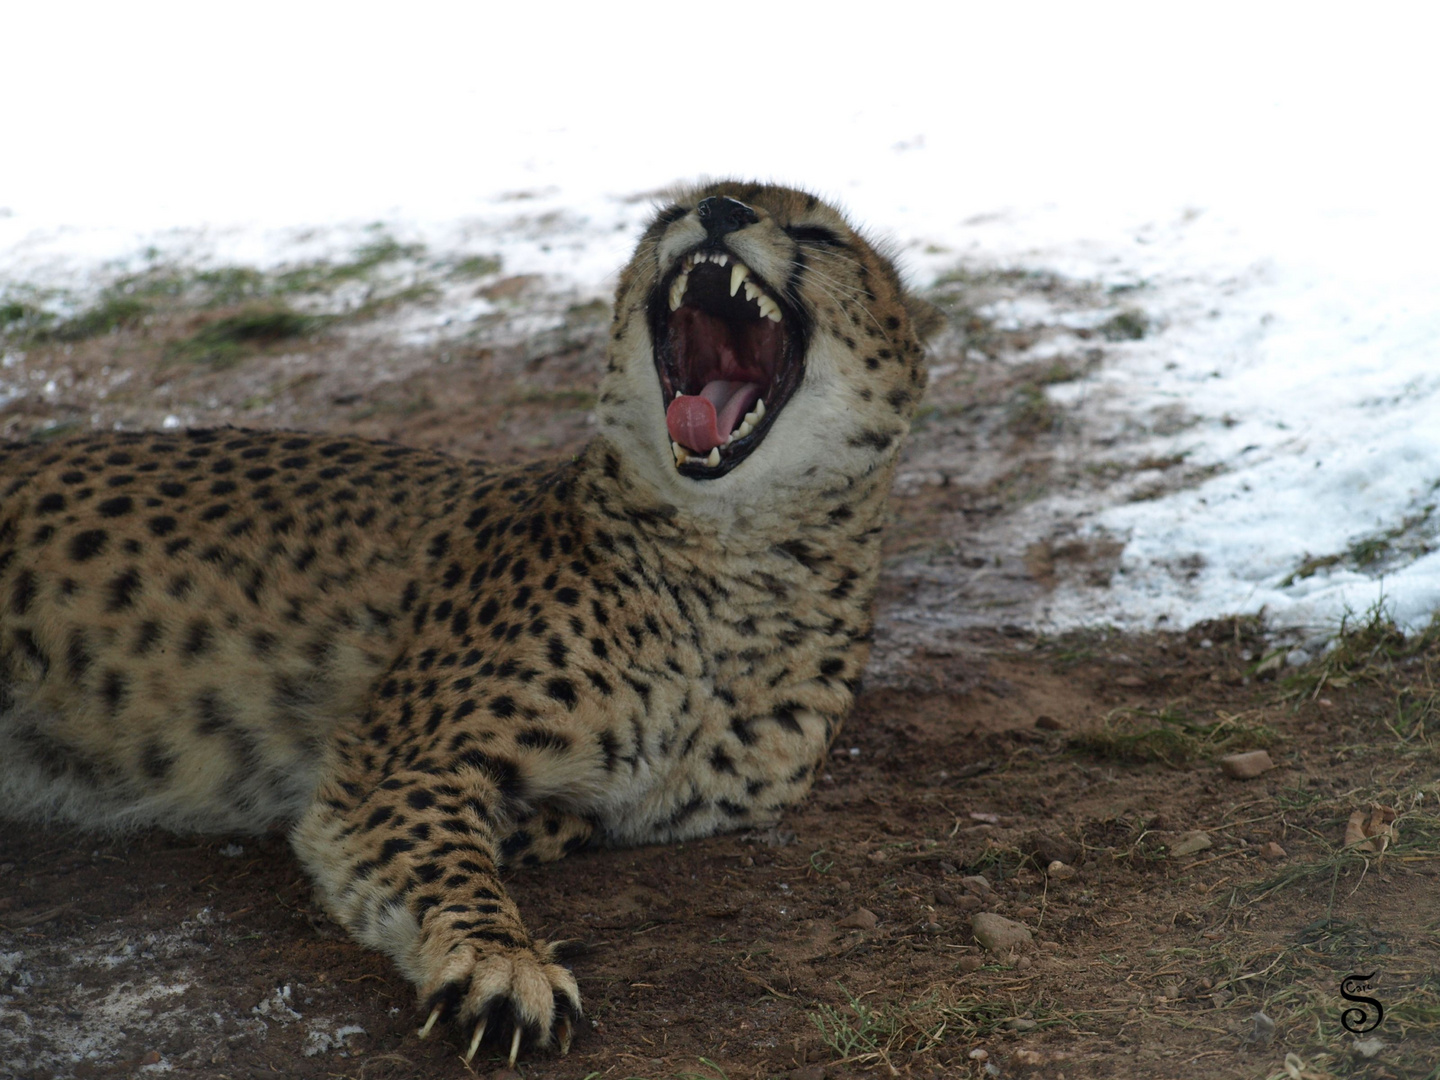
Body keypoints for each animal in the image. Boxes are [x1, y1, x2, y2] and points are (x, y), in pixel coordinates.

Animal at [0, 180, 944, 1065]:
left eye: (818, 233)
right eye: (668, 213)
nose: (717, 211)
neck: (732, 558)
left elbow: (565, 817)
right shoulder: (393, 765)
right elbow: (442, 859)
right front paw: (500, 962)